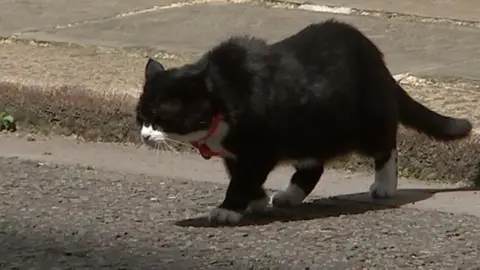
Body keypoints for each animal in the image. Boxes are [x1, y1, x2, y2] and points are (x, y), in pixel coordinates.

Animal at [136, 19, 472, 226]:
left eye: (160, 118)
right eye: (141, 117)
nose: (144, 135)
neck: (224, 96)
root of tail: (378, 61)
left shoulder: (258, 148)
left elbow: (243, 178)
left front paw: (228, 209)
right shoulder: (236, 153)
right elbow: (240, 175)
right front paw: (256, 200)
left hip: (360, 123)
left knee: (386, 145)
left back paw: (384, 185)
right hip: (311, 128)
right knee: (313, 166)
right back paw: (289, 195)